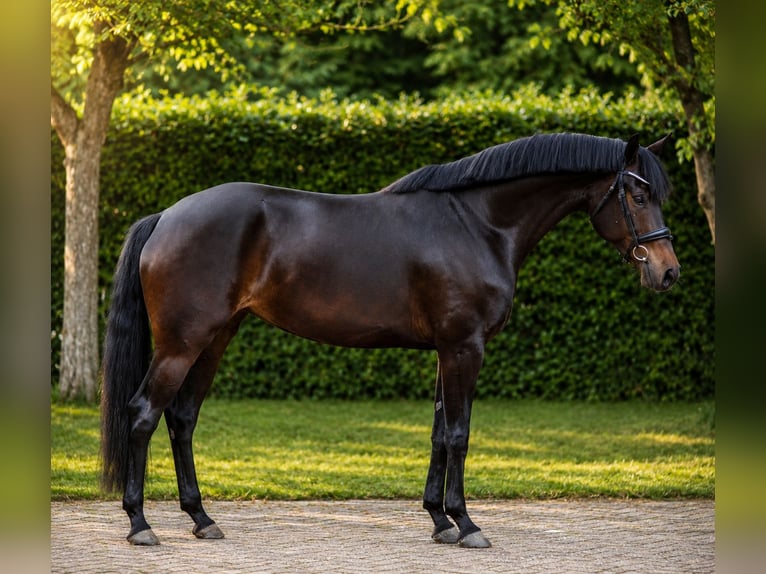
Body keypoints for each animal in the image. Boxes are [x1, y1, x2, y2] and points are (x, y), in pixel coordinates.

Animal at [100, 132, 679, 548]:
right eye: (637, 194)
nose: (668, 272)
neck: (479, 224)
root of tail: (166, 216)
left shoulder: (448, 350)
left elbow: (439, 433)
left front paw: (440, 521)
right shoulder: (465, 348)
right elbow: (459, 434)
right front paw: (467, 525)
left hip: (215, 337)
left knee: (182, 418)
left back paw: (201, 518)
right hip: (182, 343)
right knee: (143, 414)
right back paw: (140, 525)